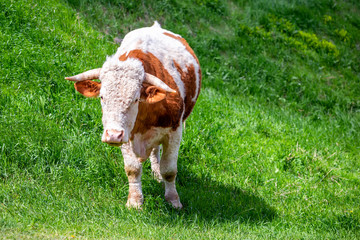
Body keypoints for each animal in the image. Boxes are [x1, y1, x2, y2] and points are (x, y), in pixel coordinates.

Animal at [64, 21, 200, 208]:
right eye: (102, 97)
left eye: (135, 99)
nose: (113, 135)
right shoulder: (127, 135)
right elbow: (132, 169)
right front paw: (135, 200)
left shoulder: (175, 132)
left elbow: (169, 170)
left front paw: (173, 200)